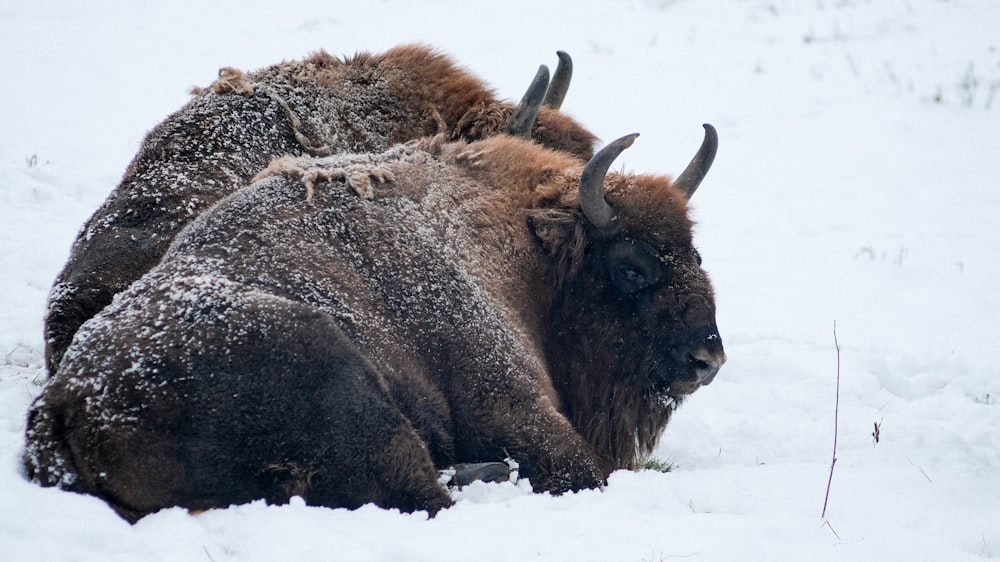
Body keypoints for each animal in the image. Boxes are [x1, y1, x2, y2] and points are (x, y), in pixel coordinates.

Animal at [23, 127, 724, 520]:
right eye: (631, 267)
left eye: (694, 253)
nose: (707, 359)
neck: (521, 251)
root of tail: (63, 400)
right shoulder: (513, 405)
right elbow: (583, 470)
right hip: (346, 382)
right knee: (429, 497)